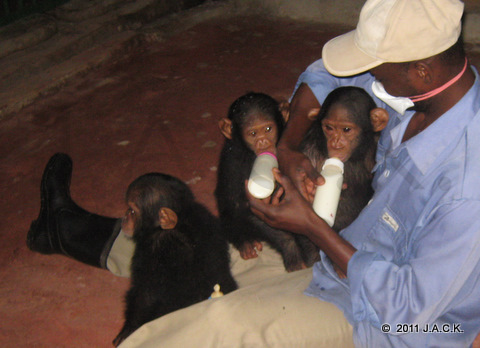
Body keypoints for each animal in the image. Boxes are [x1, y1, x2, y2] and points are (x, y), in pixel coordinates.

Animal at [114, 173, 238, 346]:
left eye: (132, 210)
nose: (125, 217)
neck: (180, 221)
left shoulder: (154, 248)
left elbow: (145, 295)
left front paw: (128, 331)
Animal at [216, 92, 320, 272]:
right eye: (252, 134)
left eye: (268, 129)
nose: (263, 142)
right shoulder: (231, 161)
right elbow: (239, 206)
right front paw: (291, 249)